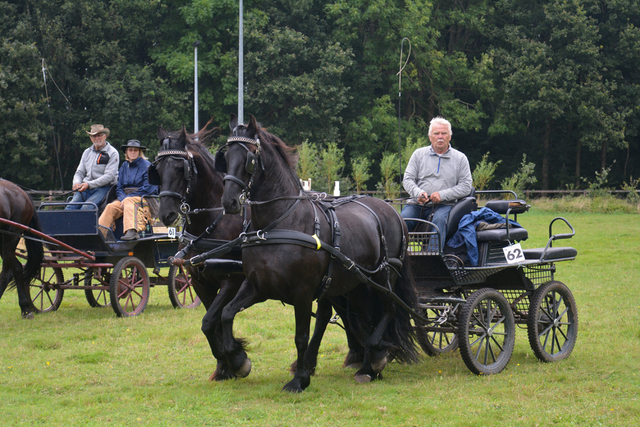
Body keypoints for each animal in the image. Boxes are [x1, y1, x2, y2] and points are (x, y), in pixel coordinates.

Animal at [215, 115, 420, 392]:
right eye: (225, 156)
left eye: (250, 158)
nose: (229, 202)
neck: (277, 224)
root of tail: (392, 211)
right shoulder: (258, 286)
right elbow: (227, 313)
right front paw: (239, 360)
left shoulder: (302, 292)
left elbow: (301, 336)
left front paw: (299, 379)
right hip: (356, 286)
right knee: (365, 320)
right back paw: (368, 367)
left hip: (382, 278)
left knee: (388, 310)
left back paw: (375, 359)